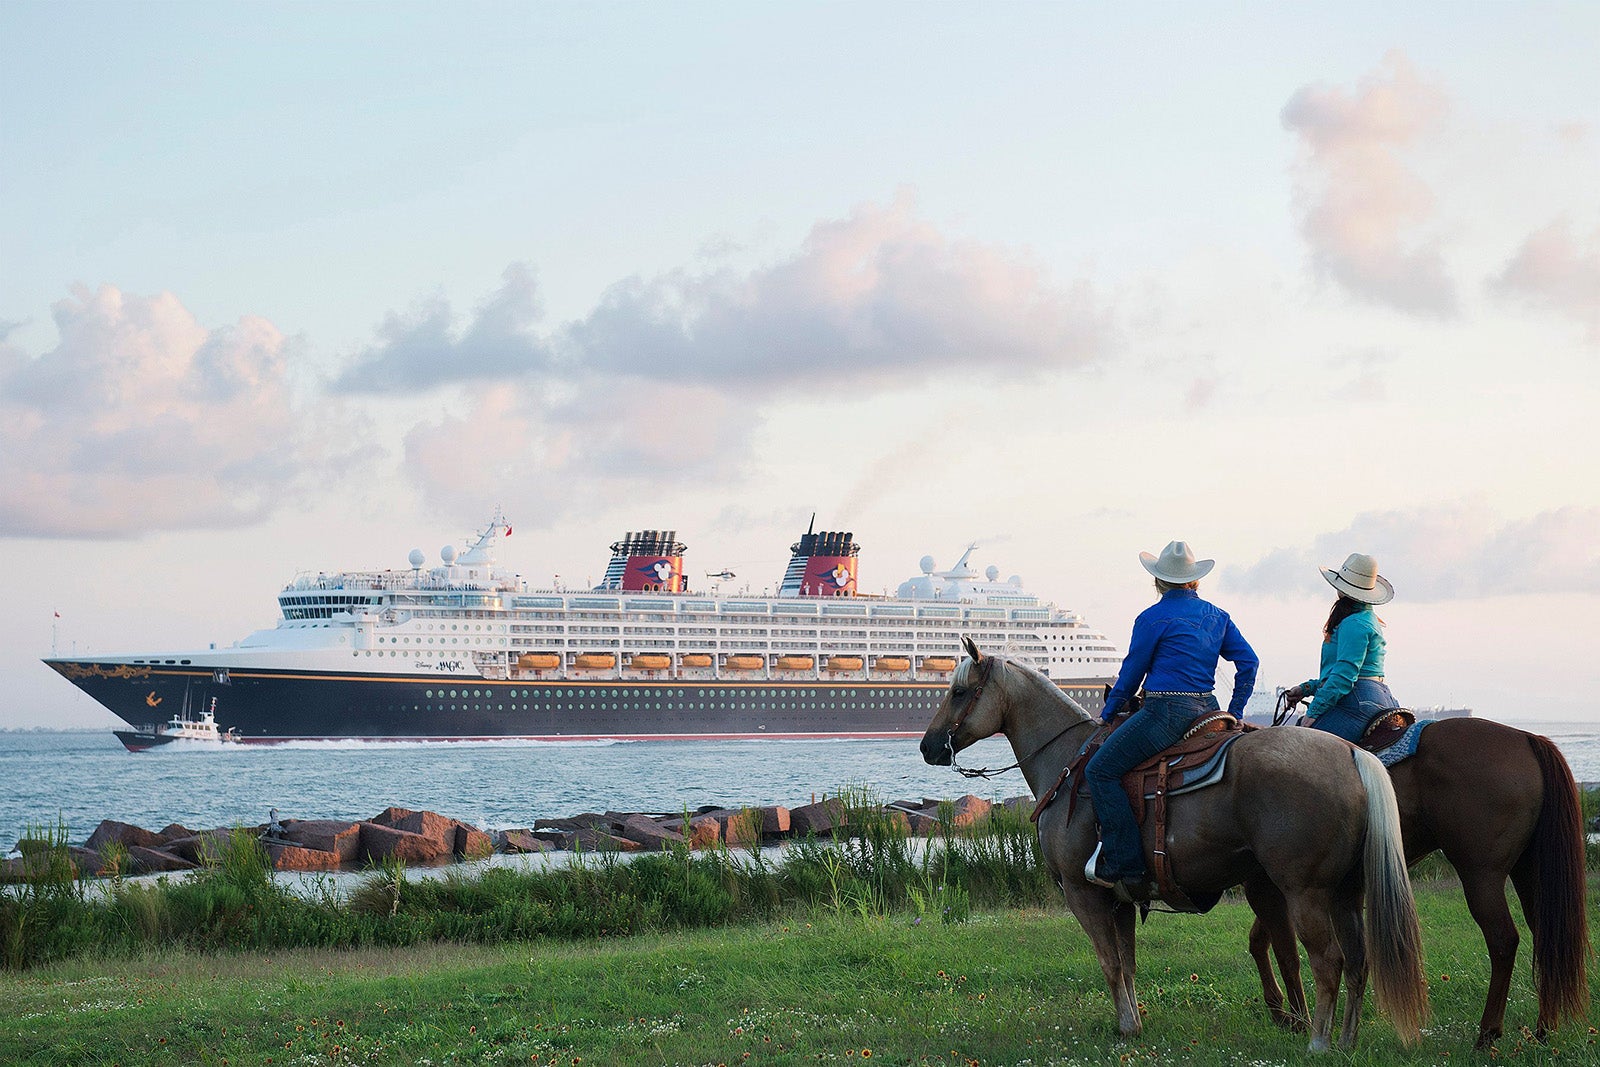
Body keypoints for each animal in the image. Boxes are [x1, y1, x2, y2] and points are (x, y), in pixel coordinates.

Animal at [921, 643, 1433, 1049]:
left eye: (960, 692)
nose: (928, 746)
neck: (1069, 762)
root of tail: (1353, 753)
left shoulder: (1083, 893)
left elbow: (1109, 963)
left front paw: (1127, 1027)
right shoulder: (1120, 898)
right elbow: (1127, 964)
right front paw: (1133, 1023)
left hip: (1305, 892)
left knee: (1328, 961)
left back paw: (1320, 1043)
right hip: (1347, 892)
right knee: (1358, 962)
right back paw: (1346, 1040)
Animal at [1241, 713, 1580, 1049]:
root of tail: (1526, 738)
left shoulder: (1282, 886)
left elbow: (1282, 950)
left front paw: (1293, 1017)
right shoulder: (1297, 888)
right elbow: (1261, 940)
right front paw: (1284, 1013)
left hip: (1481, 874)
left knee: (1503, 940)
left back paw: (1487, 1033)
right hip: (1526, 870)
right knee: (1544, 933)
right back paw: (1544, 1028)